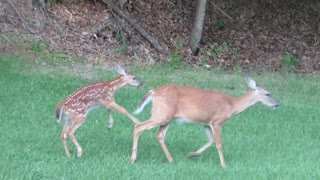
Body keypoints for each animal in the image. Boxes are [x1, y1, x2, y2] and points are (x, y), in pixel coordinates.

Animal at [130, 77, 278, 167]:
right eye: (267, 94)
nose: (277, 104)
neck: (231, 105)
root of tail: (153, 92)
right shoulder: (217, 121)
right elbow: (219, 143)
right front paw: (224, 165)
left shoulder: (206, 123)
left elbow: (211, 140)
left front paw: (192, 154)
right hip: (162, 114)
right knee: (138, 126)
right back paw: (133, 158)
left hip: (167, 117)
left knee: (159, 135)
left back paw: (171, 160)